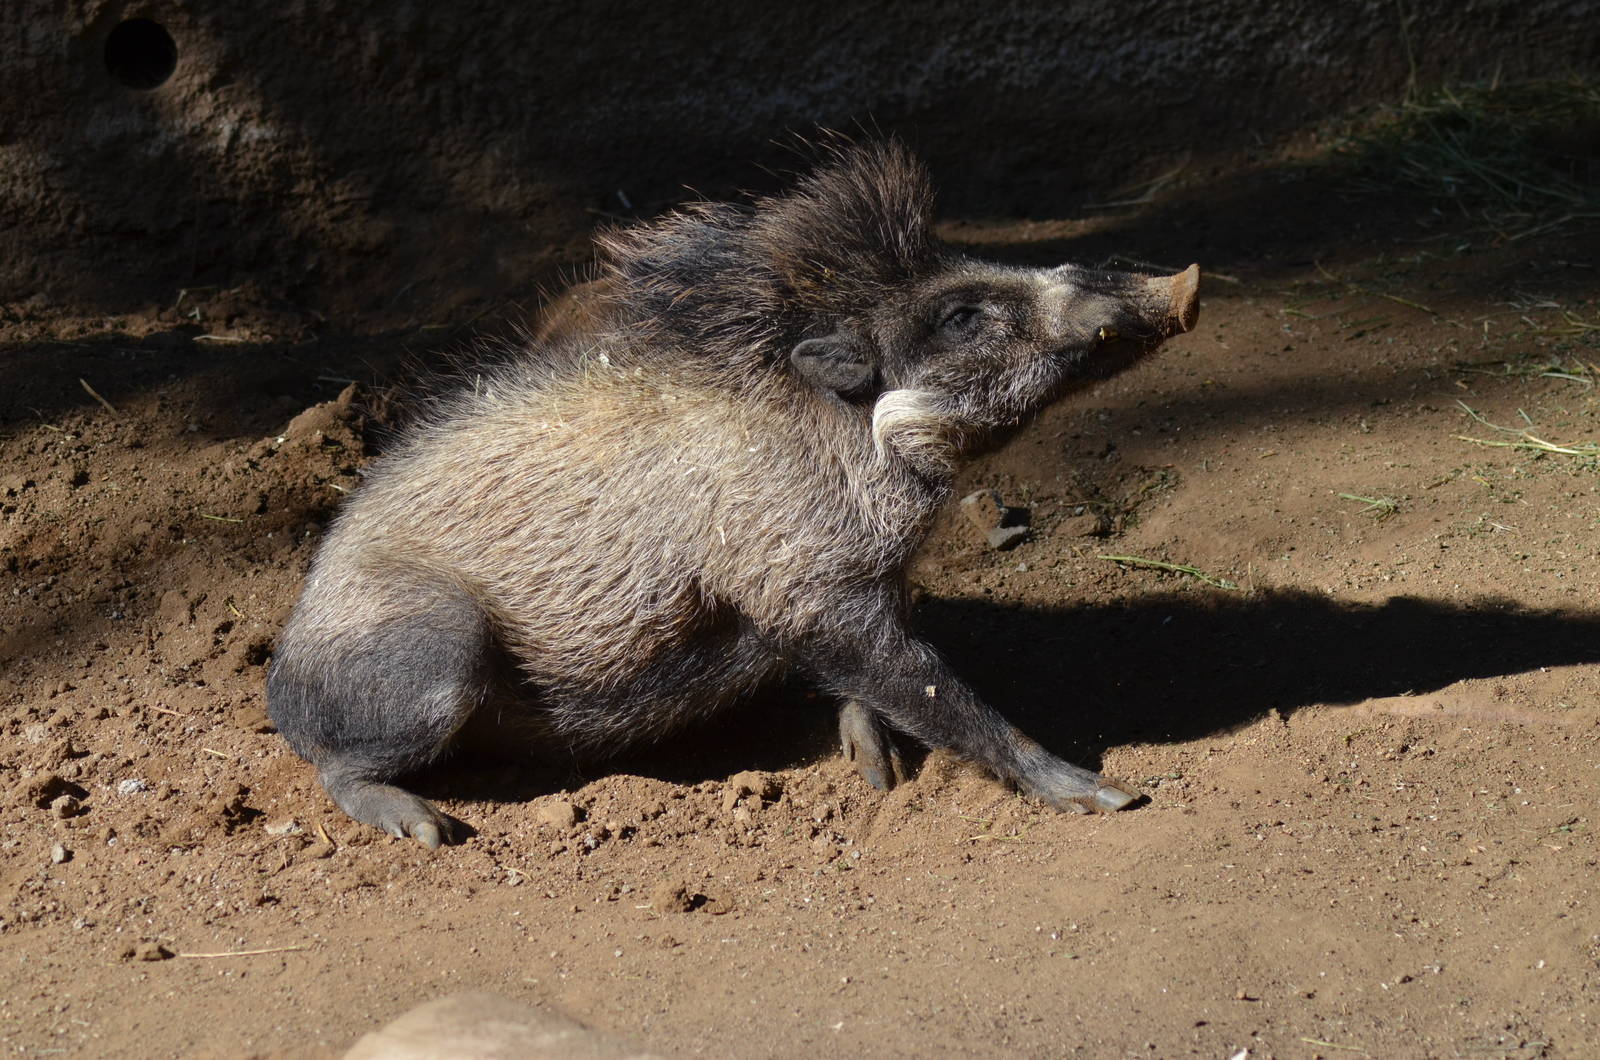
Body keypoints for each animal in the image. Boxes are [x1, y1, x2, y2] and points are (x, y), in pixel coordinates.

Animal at [266, 140, 1199, 847]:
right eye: (960, 316)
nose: (1185, 281)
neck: (845, 441)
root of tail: (278, 677)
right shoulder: (804, 591)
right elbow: (936, 689)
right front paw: (1111, 796)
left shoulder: (871, 585)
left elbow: (885, 682)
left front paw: (877, 774)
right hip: (433, 654)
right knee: (336, 765)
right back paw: (430, 830)